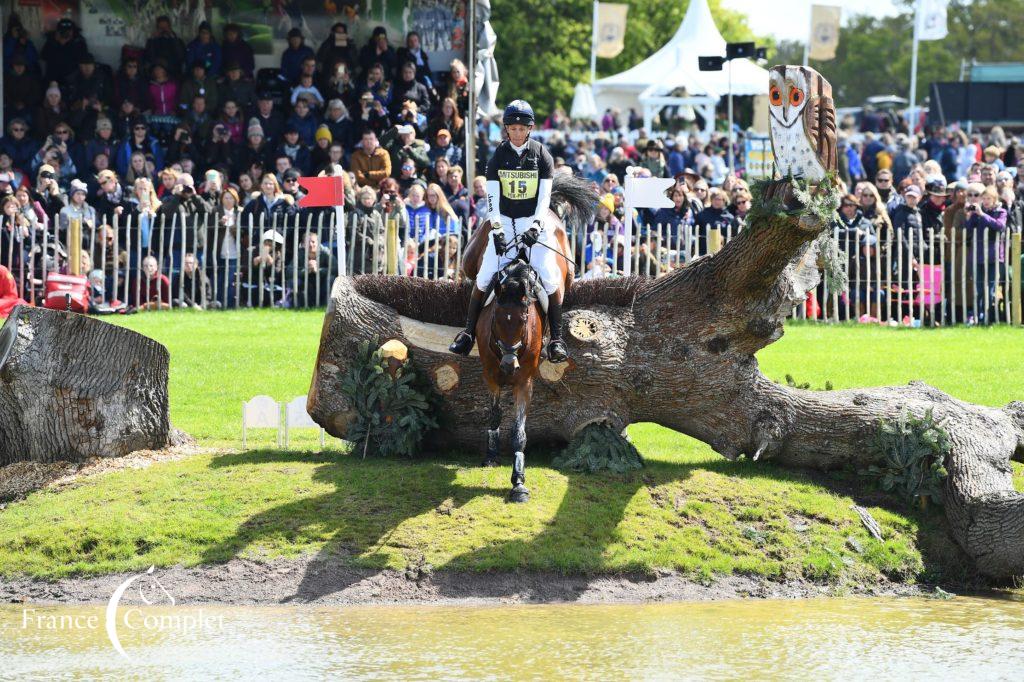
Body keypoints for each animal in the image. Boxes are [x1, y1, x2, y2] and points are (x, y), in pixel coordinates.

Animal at [460, 173, 598, 501]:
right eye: (495, 320)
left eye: (524, 322)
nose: (509, 365)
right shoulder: (491, 374)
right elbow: (495, 415)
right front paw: (490, 455)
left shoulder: (525, 381)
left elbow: (519, 431)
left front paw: (519, 482)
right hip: (474, 254)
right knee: (474, 278)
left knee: (558, 289)